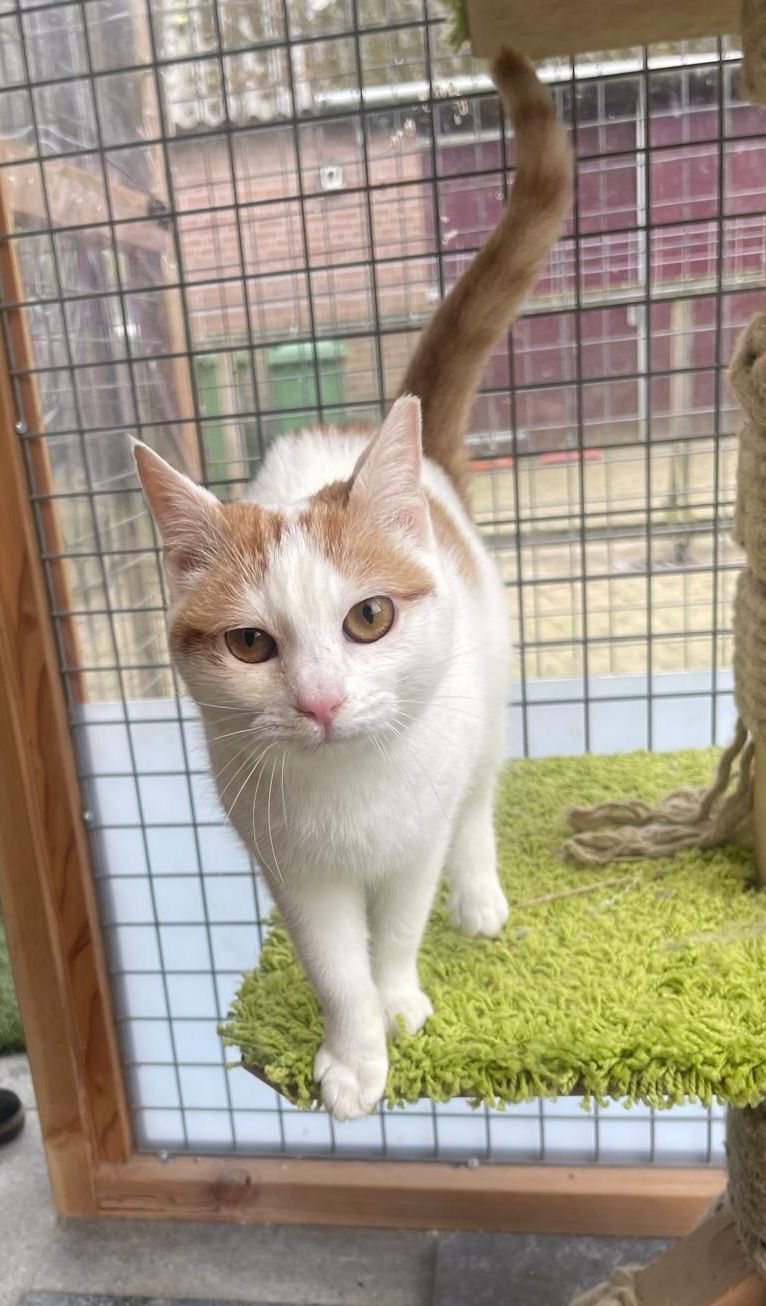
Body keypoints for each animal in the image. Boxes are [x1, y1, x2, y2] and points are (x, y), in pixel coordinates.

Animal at [135, 49, 572, 1121]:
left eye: (368, 617)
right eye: (250, 643)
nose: (323, 702)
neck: (349, 788)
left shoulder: (410, 838)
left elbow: (398, 923)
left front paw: (399, 997)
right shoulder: (291, 868)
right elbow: (334, 962)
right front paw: (352, 1052)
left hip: (485, 689)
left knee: (477, 798)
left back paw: (479, 892)